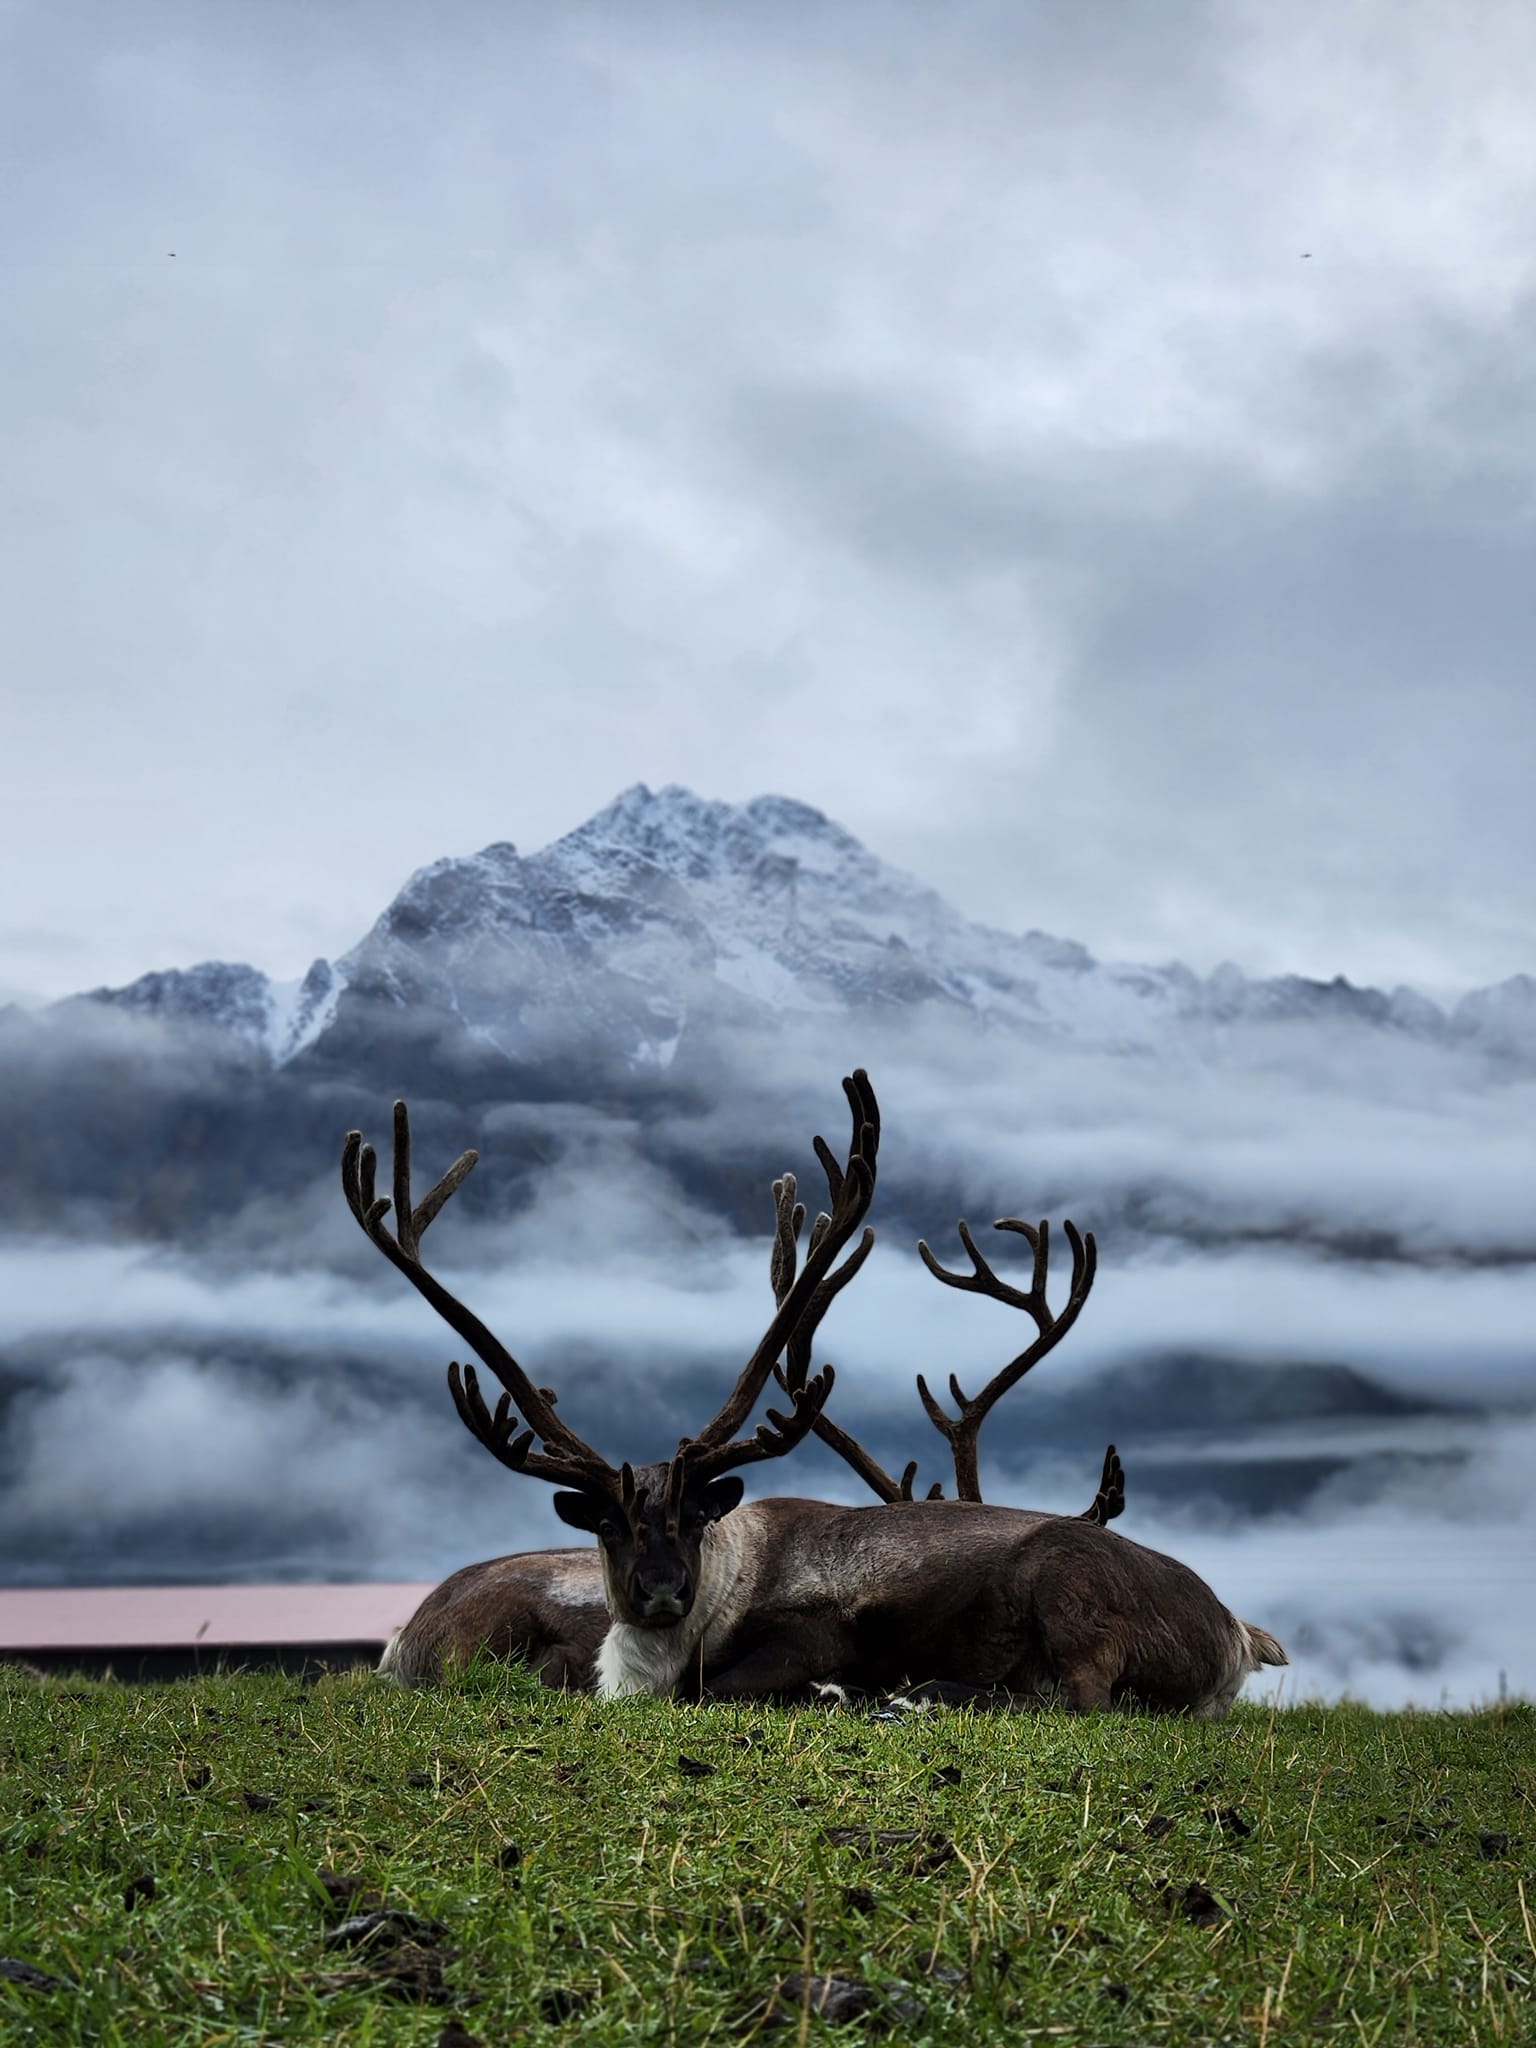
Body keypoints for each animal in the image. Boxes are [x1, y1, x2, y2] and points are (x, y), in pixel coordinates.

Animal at [348, 1074, 1286, 1715]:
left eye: (694, 1517)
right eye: (609, 1523)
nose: (661, 1589)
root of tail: (1234, 1630)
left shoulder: (811, 1633)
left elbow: (723, 1688)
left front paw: (841, 1692)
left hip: (1069, 1595)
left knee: (1066, 1696)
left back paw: (907, 1698)